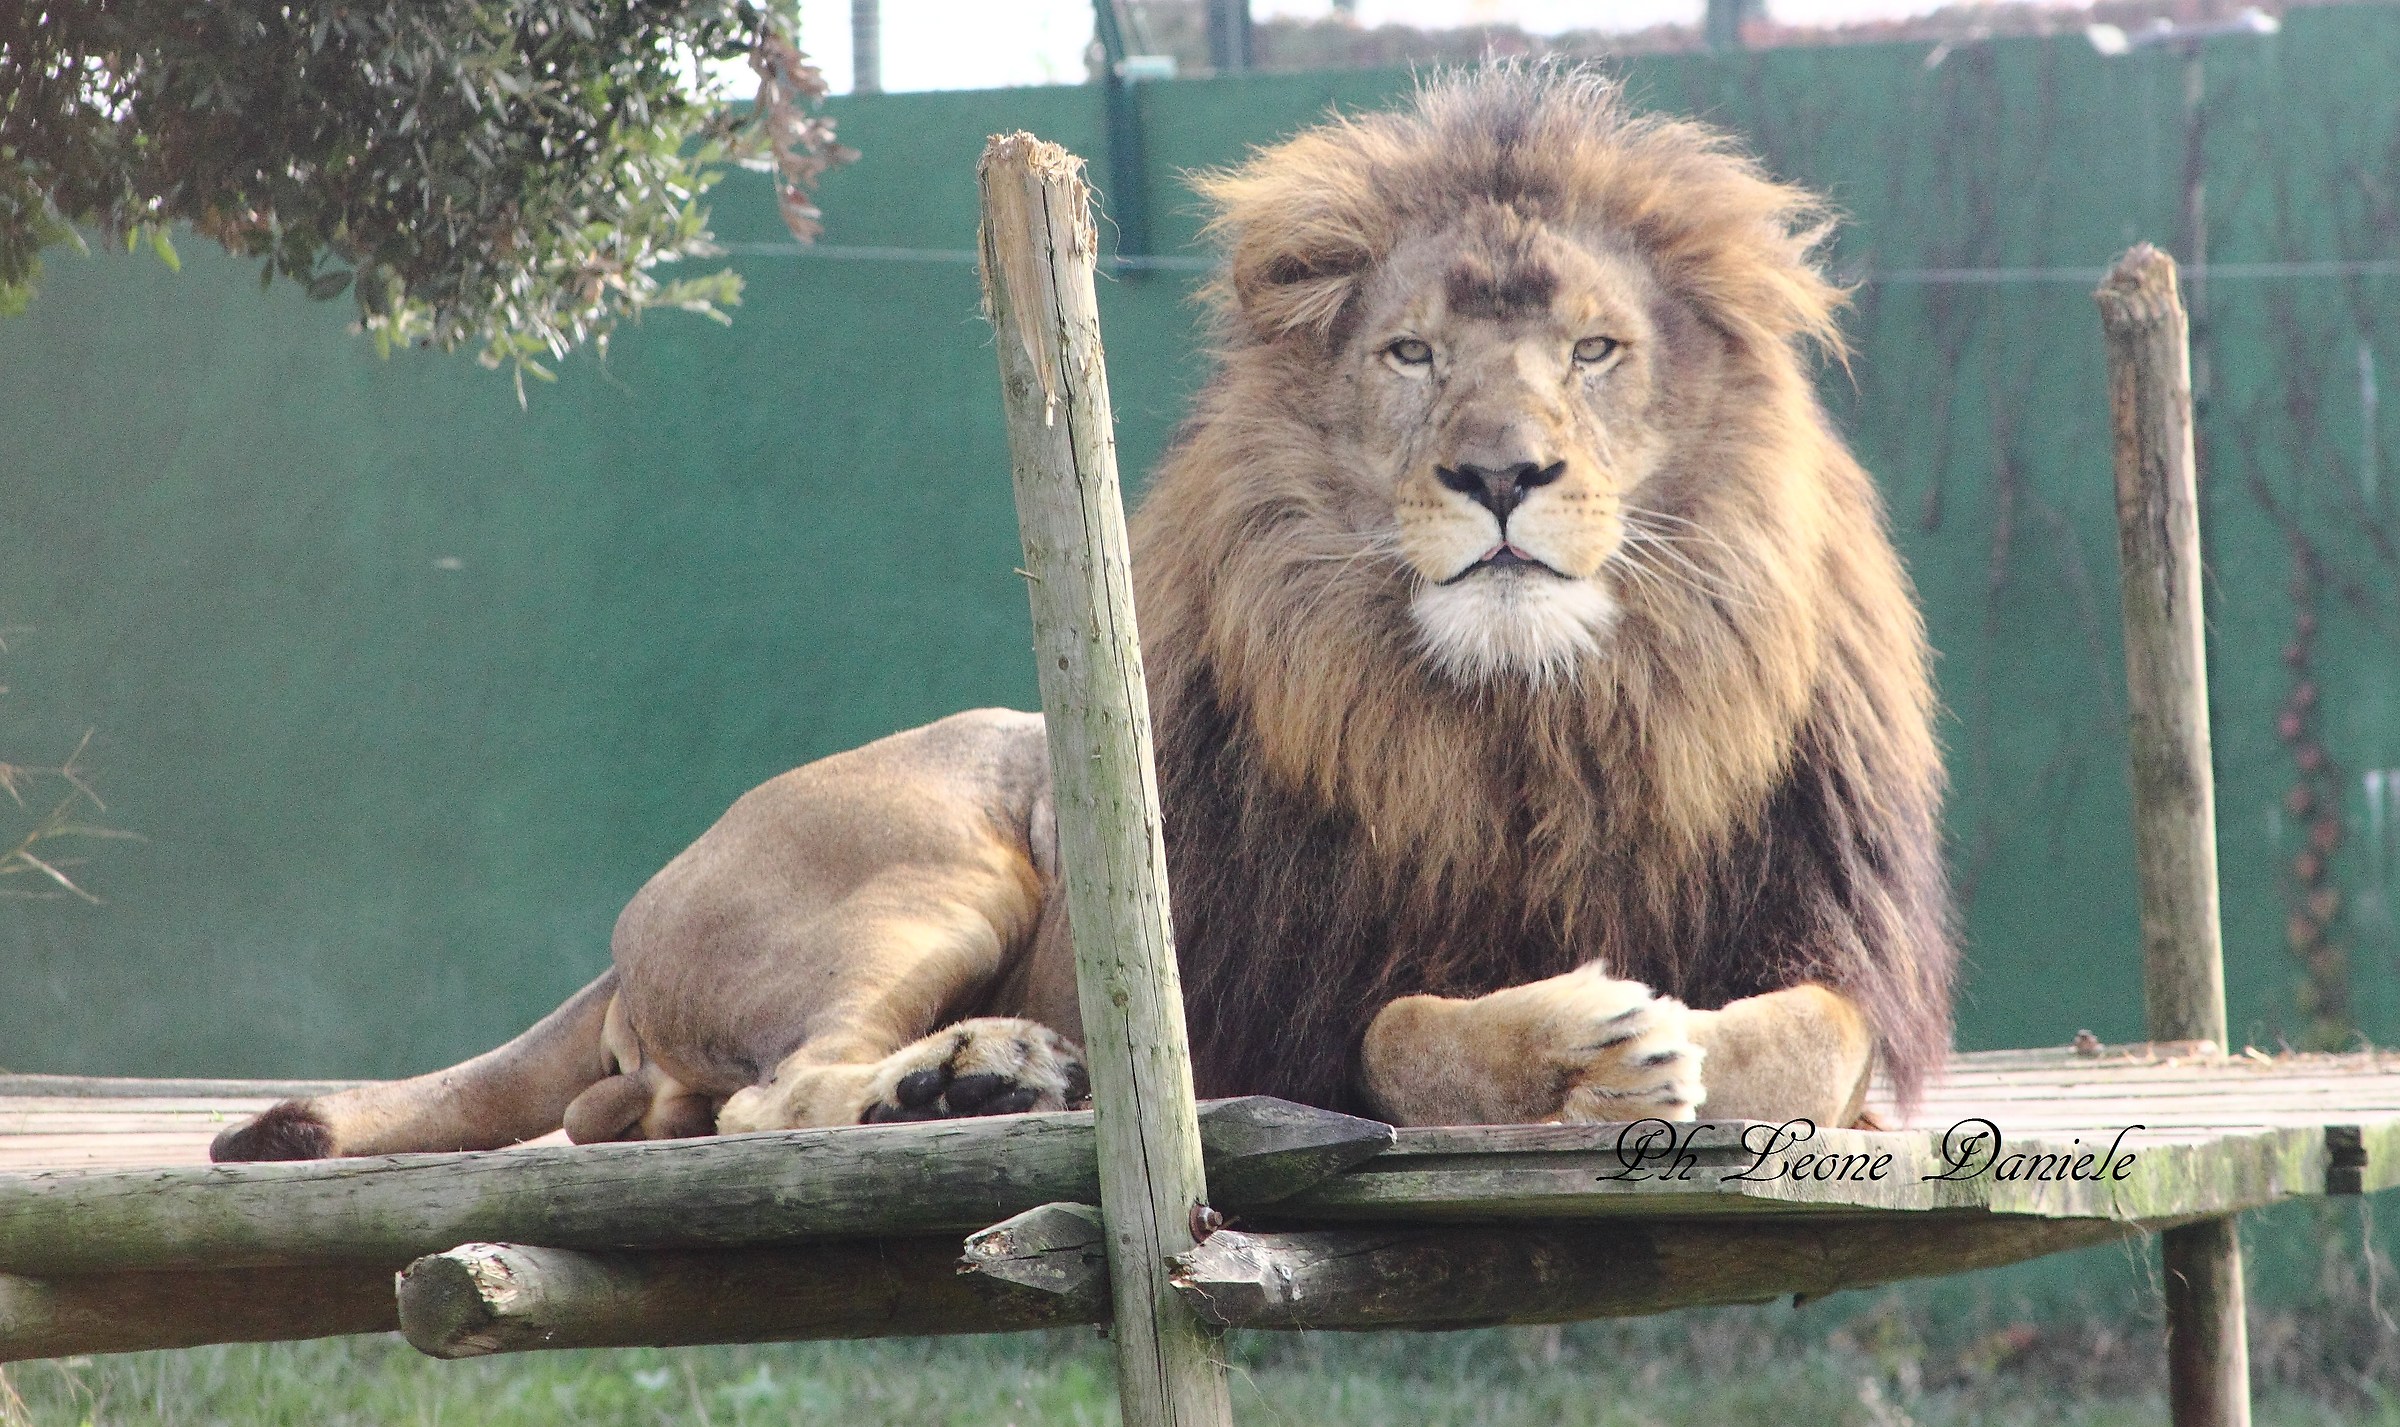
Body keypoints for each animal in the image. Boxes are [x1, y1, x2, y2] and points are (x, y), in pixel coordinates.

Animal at [213, 66, 1953, 1163]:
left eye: (1596, 349)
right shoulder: (1259, 1015)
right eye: (1409, 355)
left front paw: (1673, 1043)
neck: (1528, 717)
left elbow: (1812, 1031)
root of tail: (635, 917)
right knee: (762, 1100)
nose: (1501, 474)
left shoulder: (1825, 932)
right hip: (938, 861)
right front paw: (1588, 1046)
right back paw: (970, 1074)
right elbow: (1407, 1028)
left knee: (642, 1113)